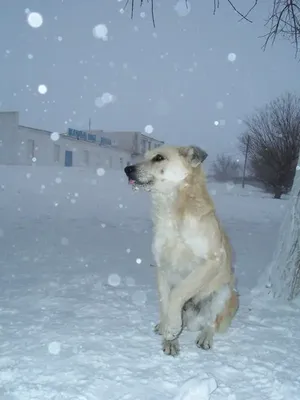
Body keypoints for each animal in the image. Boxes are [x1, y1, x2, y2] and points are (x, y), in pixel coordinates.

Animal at [124, 145, 239, 358]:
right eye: (144, 156)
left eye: (158, 158)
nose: (127, 169)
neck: (170, 212)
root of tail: (194, 323)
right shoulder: (161, 266)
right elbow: (165, 301)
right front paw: (169, 337)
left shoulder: (212, 260)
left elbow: (179, 292)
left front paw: (171, 328)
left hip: (225, 292)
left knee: (211, 322)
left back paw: (204, 336)